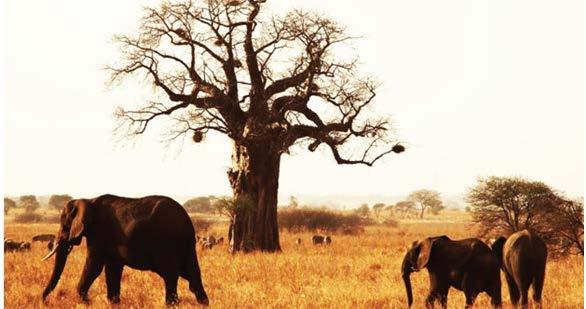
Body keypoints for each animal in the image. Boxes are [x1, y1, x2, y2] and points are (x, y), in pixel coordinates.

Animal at [40, 194, 208, 304]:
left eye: (64, 225)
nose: (44, 301)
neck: (88, 201)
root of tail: (187, 221)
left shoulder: (99, 233)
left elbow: (94, 266)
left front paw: (85, 301)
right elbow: (112, 269)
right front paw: (113, 302)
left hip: (168, 242)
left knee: (170, 275)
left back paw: (171, 304)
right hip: (185, 244)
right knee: (192, 275)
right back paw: (203, 303)